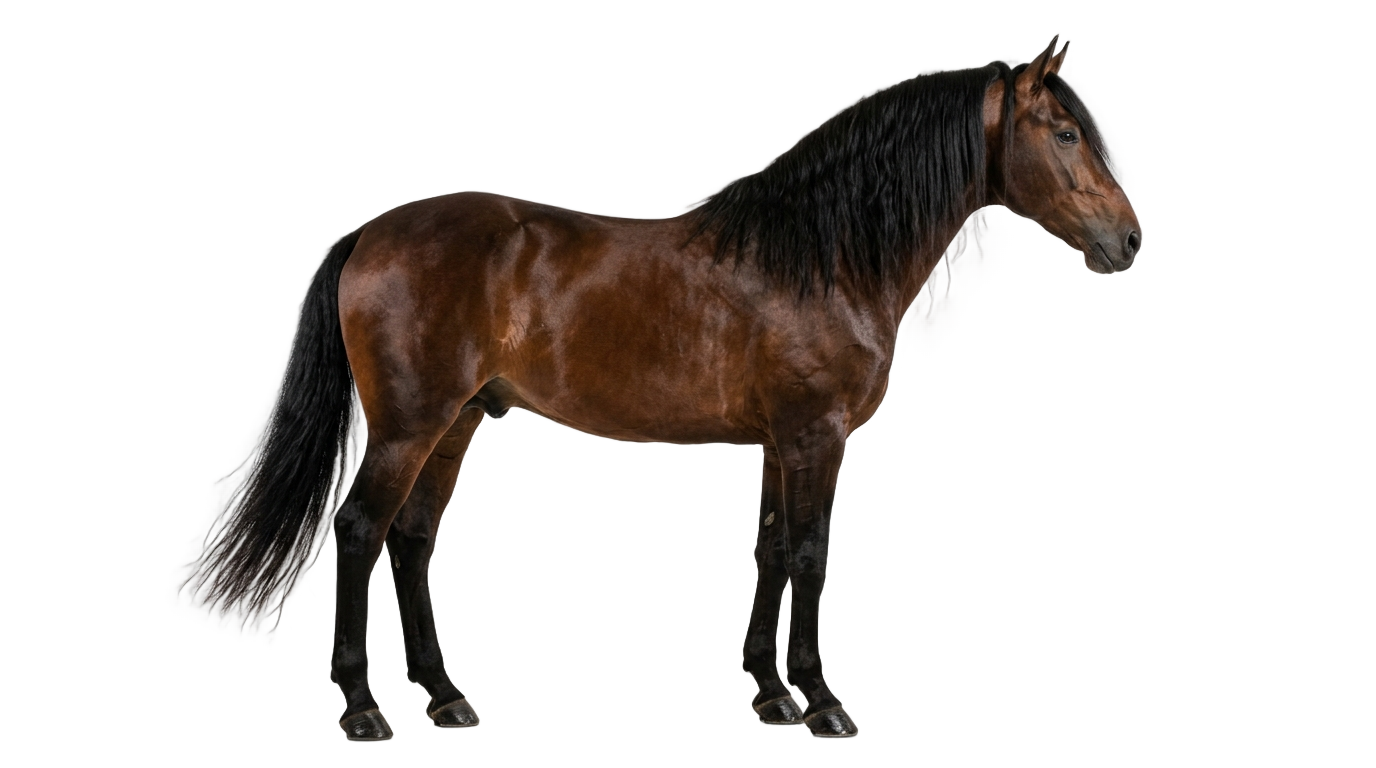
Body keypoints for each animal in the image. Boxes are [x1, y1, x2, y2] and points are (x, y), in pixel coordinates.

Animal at [191, 35, 1140, 739]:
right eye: (1064, 132)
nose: (1128, 239)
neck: (822, 254)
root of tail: (371, 232)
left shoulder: (780, 442)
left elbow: (770, 547)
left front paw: (768, 691)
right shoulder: (816, 435)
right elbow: (809, 551)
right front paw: (820, 702)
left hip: (453, 424)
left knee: (412, 540)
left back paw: (445, 697)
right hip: (406, 426)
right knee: (358, 532)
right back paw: (361, 709)